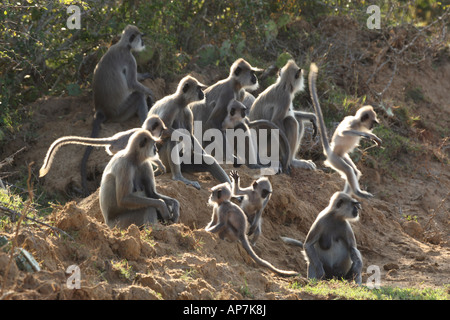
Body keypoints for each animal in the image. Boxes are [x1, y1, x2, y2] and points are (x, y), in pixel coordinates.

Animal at [81, 25, 156, 195]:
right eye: (140, 37)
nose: (143, 42)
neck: (122, 45)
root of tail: (101, 111)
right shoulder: (129, 58)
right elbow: (132, 83)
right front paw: (150, 93)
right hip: (121, 112)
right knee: (137, 96)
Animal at [308, 62, 382, 198]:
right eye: (373, 122)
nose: (373, 127)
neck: (358, 123)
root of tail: (330, 151)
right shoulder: (352, 123)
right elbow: (344, 132)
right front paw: (367, 136)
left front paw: (373, 137)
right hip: (335, 160)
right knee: (348, 169)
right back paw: (358, 192)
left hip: (342, 156)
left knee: (354, 171)